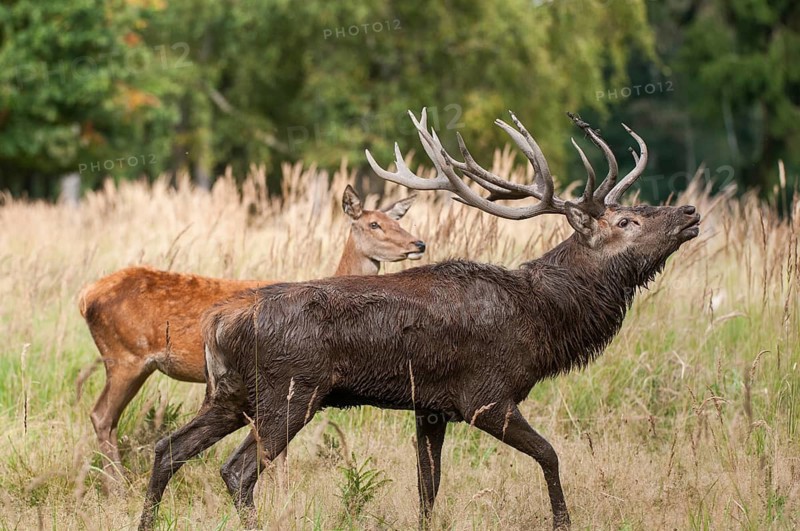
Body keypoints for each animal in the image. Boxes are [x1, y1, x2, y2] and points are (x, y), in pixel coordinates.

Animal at [79, 185, 425, 484]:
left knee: (106, 417)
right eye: (373, 224)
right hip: (124, 357)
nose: (418, 244)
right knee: (101, 415)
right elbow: (278, 452)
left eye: (397, 220)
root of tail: (85, 296)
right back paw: (118, 486)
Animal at [137, 109, 701, 531]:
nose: (690, 212)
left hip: (229, 395)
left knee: (166, 450)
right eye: (627, 220)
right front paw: (564, 523)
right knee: (237, 472)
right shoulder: (485, 396)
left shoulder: (430, 407)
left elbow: (427, 489)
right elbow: (550, 456)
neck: (542, 321)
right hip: (290, 393)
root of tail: (216, 322)